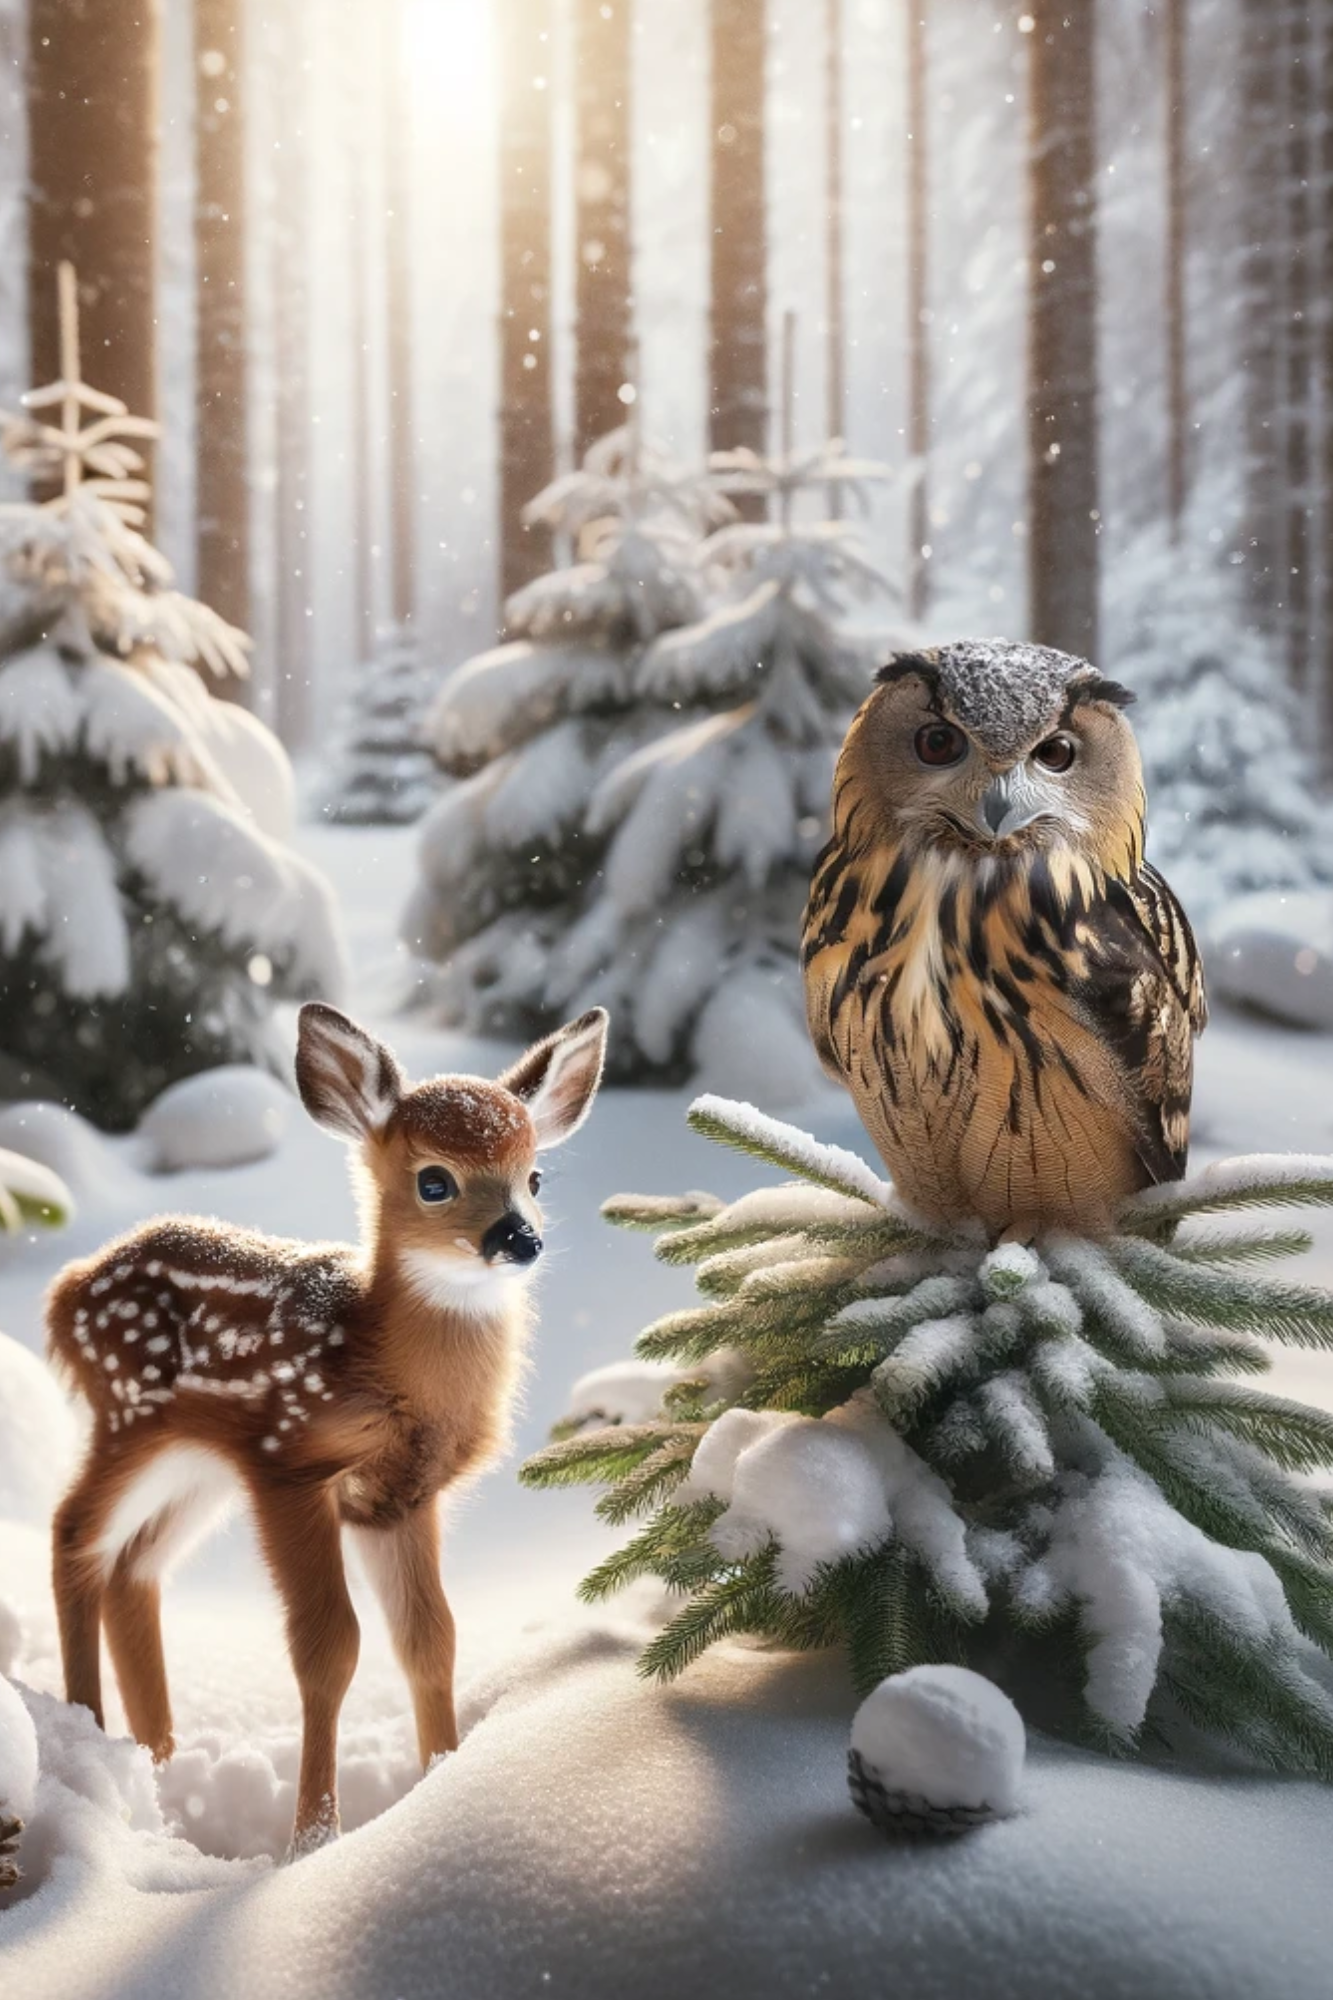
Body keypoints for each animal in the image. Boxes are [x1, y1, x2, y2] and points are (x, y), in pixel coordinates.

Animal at [46, 1001, 608, 1855]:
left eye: (534, 1176)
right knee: (75, 1532)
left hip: (199, 1465)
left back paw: (157, 1768)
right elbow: (328, 1648)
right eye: (434, 1180)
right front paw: (313, 1839)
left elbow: (430, 1640)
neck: (385, 1364)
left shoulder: (400, 1499)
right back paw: (87, 1742)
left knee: (132, 1566)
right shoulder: (292, 1462)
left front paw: (441, 1784)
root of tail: (67, 1288)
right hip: (131, 1418)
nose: (519, 1238)